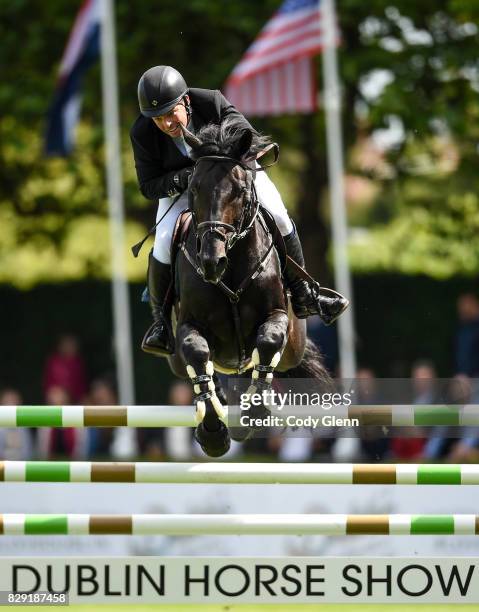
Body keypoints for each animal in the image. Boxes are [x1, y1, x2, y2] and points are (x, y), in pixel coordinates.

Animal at [166, 117, 330, 456]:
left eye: (240, 189)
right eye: (194, 188)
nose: (211, 262)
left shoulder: (276, 315)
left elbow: (268, 341)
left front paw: (254, 412)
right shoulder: (189, 324)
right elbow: (197, 353)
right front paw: (213, 432)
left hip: (293, 349)